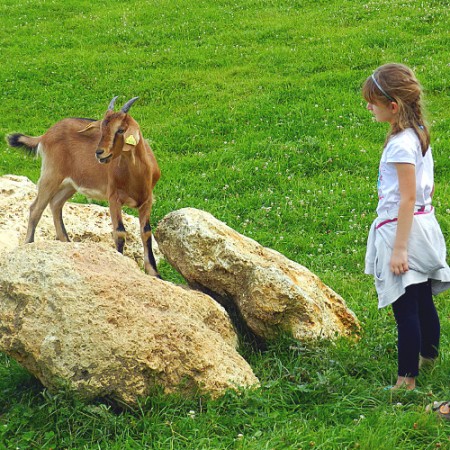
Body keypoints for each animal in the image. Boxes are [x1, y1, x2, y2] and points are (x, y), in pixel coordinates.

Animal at [6, 96, 160, 276]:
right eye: (101, 128)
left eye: (121, 130)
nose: (100, 153)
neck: (136, 175)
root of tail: (45, 135)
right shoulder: (113, 197)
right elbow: (120, 231)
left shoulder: (147, 200)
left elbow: (146, 232)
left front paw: (154, 273)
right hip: (51, 175)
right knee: (36, 208)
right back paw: (29, 244)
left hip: (70, 184)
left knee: (55, 204)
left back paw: (67, 243)